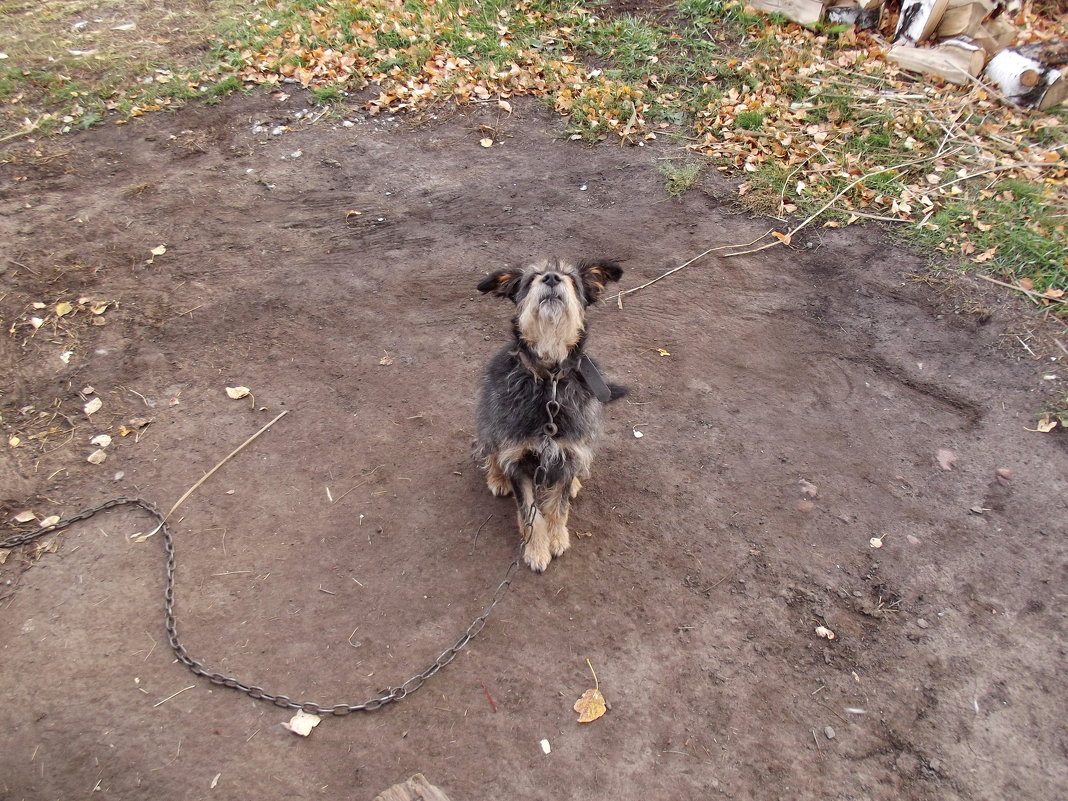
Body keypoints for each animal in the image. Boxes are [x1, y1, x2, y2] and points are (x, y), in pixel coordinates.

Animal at [476, 257, 623, 572]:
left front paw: (556, 538)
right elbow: (529, 511)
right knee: (490, 451)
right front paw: (535, 549)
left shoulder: (567, 451)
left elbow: (559, 505)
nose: (553, 278)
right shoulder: (518, 458)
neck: (550, 381)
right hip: (488, 419)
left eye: (571, 278)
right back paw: (496, 477)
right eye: (532, 278)